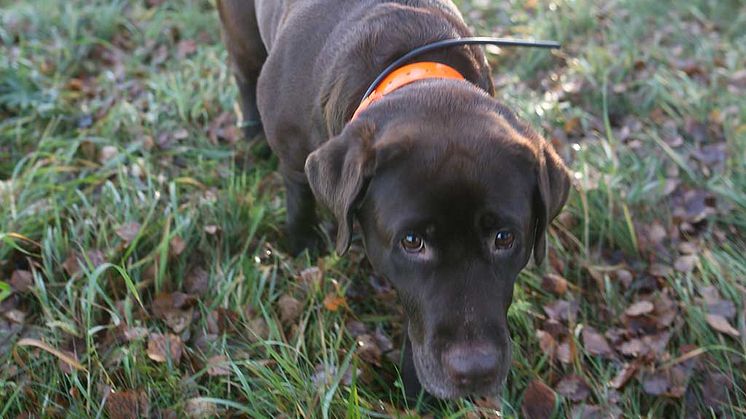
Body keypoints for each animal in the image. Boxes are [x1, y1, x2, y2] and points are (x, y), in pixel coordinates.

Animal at [215, 0, 568, 400]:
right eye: (412, 241)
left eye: (504, 238)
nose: (476, 371)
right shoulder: (292, 153)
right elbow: (300, 196)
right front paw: (304, 242)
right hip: (242, 36)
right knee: (244, 74)